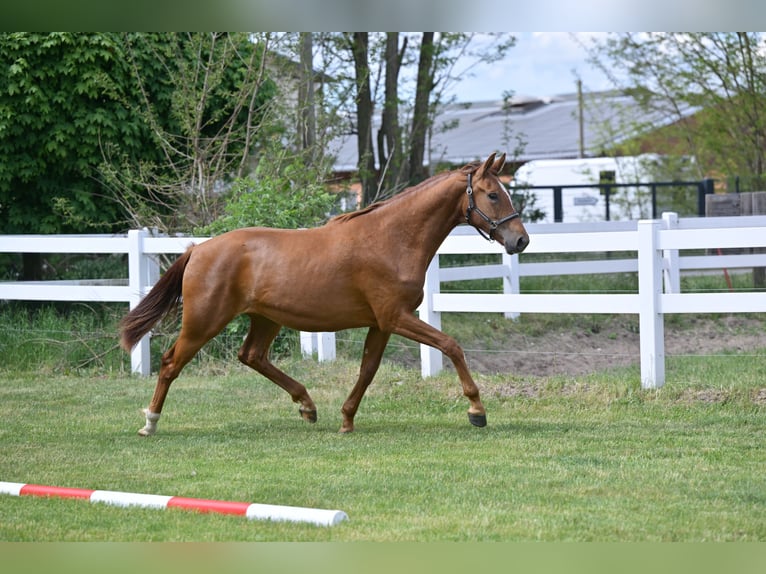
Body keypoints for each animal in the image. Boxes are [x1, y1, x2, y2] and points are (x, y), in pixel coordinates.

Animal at [119, 152, 530, 436]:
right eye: (493, 195)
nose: (520, 240)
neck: (390, 238)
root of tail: (197, 249)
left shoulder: (382, 323)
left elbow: (368, 370)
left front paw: (346, 420)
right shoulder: (396, 317)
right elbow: (451, 345)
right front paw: (477, 411)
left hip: (265, 319)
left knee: (252, 356)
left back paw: (307, 405)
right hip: (204, 321)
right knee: (171, 363)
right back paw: (150, 423)